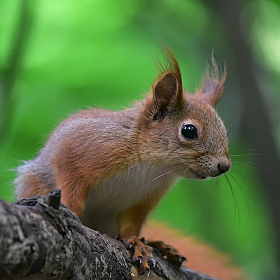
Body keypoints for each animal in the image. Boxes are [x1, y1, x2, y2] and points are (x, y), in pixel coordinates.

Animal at [13, 46, 232, 276]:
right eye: (189, 130)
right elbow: (71, 189)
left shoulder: (143, 198)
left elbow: (131, 224)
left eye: (223, 129)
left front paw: (137, 243)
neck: (152, 165)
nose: (224, 166)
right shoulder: (79, 151)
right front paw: (69, 213)